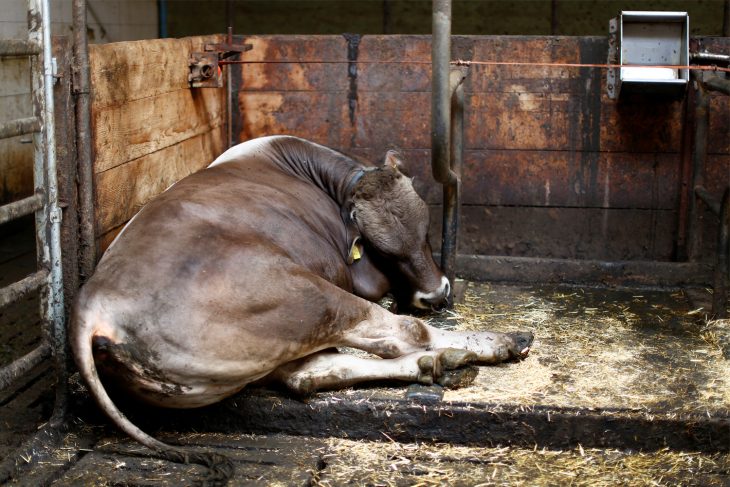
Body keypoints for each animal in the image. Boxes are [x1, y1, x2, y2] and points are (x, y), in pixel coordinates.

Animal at [71, 137, 532, 480]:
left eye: (426, 230)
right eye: (384, 251)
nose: (436, 296)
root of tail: (96, 302)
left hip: (257, 350)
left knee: (307, 374)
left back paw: (436, 363)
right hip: (308, 296)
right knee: (401, 334)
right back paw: (494, 342)